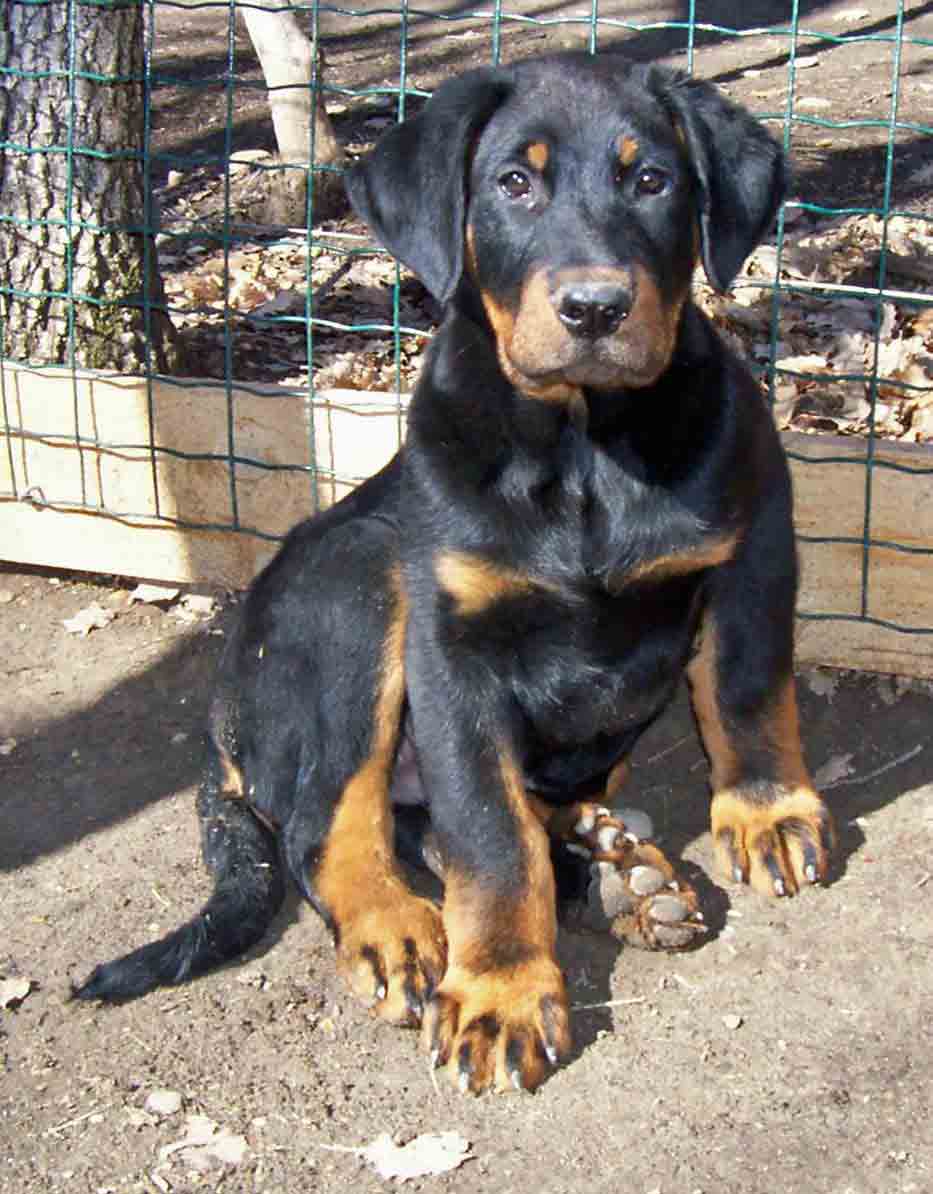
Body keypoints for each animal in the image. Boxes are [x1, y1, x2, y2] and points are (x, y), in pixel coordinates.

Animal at [74, 58, 831, 1098]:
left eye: (652, 181)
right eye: (513, 183)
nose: (594, 309)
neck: (583, 446)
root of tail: (220, 729)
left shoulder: (754, 541)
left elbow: (746, 688)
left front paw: (768, 811)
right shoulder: (452, 649)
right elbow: (486, 833)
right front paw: (502, 992)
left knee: (446, 819)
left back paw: (615, 867)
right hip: (361, 585)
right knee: (327, 824)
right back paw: (402, 925)